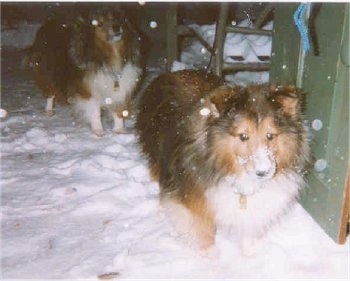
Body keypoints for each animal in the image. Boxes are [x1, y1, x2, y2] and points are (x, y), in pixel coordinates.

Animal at [24, 8, 143, 136]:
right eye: (99, 24)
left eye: (115, 19)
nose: (116, 27)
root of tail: (48, 22)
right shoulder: (88, 89)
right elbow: (95, 111)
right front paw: (98, 130)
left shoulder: (120, 87)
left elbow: (118, 109)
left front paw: (119, 130)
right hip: (47, 71)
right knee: (50, 93)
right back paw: (49, 110)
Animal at [135, 69, 310, 254]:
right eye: (243, 136)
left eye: (270, 135)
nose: (263, 172)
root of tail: (168, 74)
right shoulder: (195, 198)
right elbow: (204, 231)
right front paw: (211, 256)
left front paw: (249, 254)